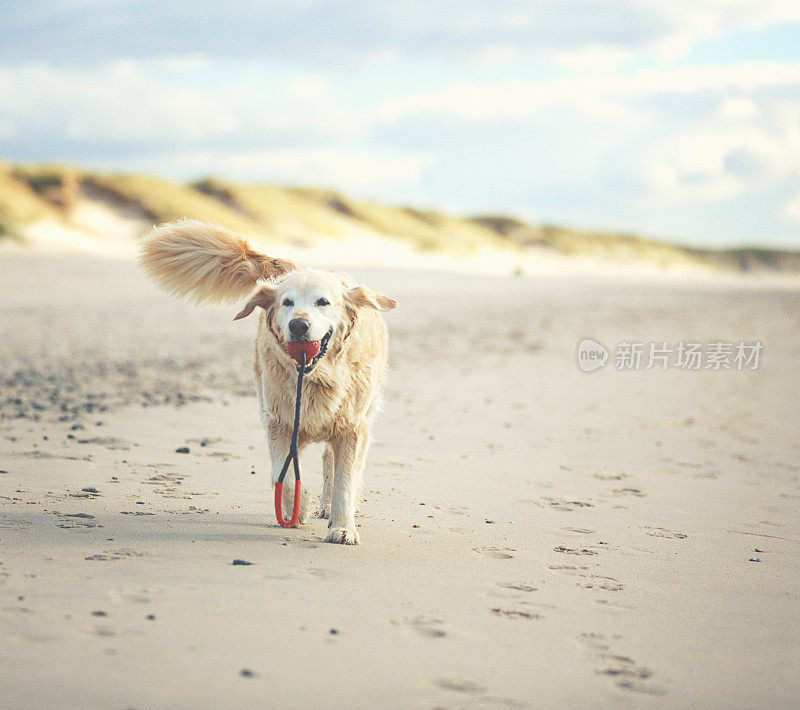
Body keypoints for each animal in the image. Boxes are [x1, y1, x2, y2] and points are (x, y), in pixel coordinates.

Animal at [143, 221, 396, 544]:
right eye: (287, 302)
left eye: (323, 302)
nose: (298, 325)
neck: (316, 376)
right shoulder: (279, 421)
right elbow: (283, 476)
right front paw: (295, 509)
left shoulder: (352, 427)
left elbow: (345, 481)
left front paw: (342, 528)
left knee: (331, 460)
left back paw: (329, 508)